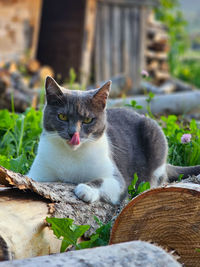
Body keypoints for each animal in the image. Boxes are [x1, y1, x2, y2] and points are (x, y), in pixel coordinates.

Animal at [27, 77, 200, 205]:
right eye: (62, 117)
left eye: (88, 120)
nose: (73, 134)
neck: (71, 156)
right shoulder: (38, 174)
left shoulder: (117, 179)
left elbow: (106, 181)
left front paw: (85, 190)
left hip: (153, 131)